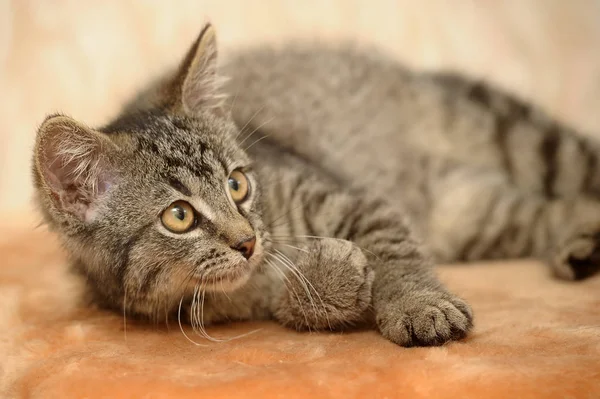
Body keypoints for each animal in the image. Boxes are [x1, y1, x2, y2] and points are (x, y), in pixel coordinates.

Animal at [31, 24, 600, 346]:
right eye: (180, 216)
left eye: (237, 185)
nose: (248, 241)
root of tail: (409, 79)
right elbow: (290, 304)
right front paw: (334, 279)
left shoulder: (355, 199)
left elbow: (395, 251)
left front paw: (417, 303)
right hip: (470, 215)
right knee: (548, 211)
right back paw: (579, 246)